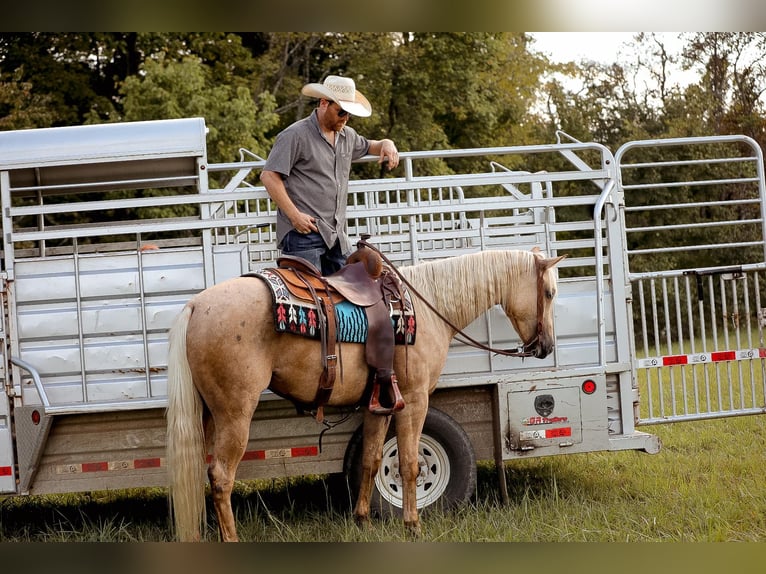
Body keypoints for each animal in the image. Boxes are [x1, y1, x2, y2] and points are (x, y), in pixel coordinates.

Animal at [165, 248, 566, 541]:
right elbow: (410, 464)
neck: (429, 308)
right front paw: (412, 525)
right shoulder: (414, 400)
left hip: (207, 414)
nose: (546, 347)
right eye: (549, 292)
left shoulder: (379, 404)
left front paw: (363, 520)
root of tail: (196, 306)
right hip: (235, 414)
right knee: (221, 477)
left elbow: (372, 459)